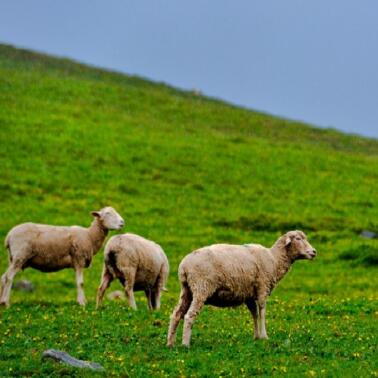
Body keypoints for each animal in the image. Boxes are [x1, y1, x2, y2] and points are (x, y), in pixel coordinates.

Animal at [167, 229, 318, 346]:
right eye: (298, 239)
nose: (314, 252)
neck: (274, 259)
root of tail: (184, 266)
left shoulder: (249, 294)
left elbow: (254, 313)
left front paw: (256, 336)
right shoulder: (262, 287)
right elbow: (262, 311)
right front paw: (264, 336)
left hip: (187, 290)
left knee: (176, 314)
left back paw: (171, 343)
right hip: (201, 288)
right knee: (189, 315)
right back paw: (185, 344)